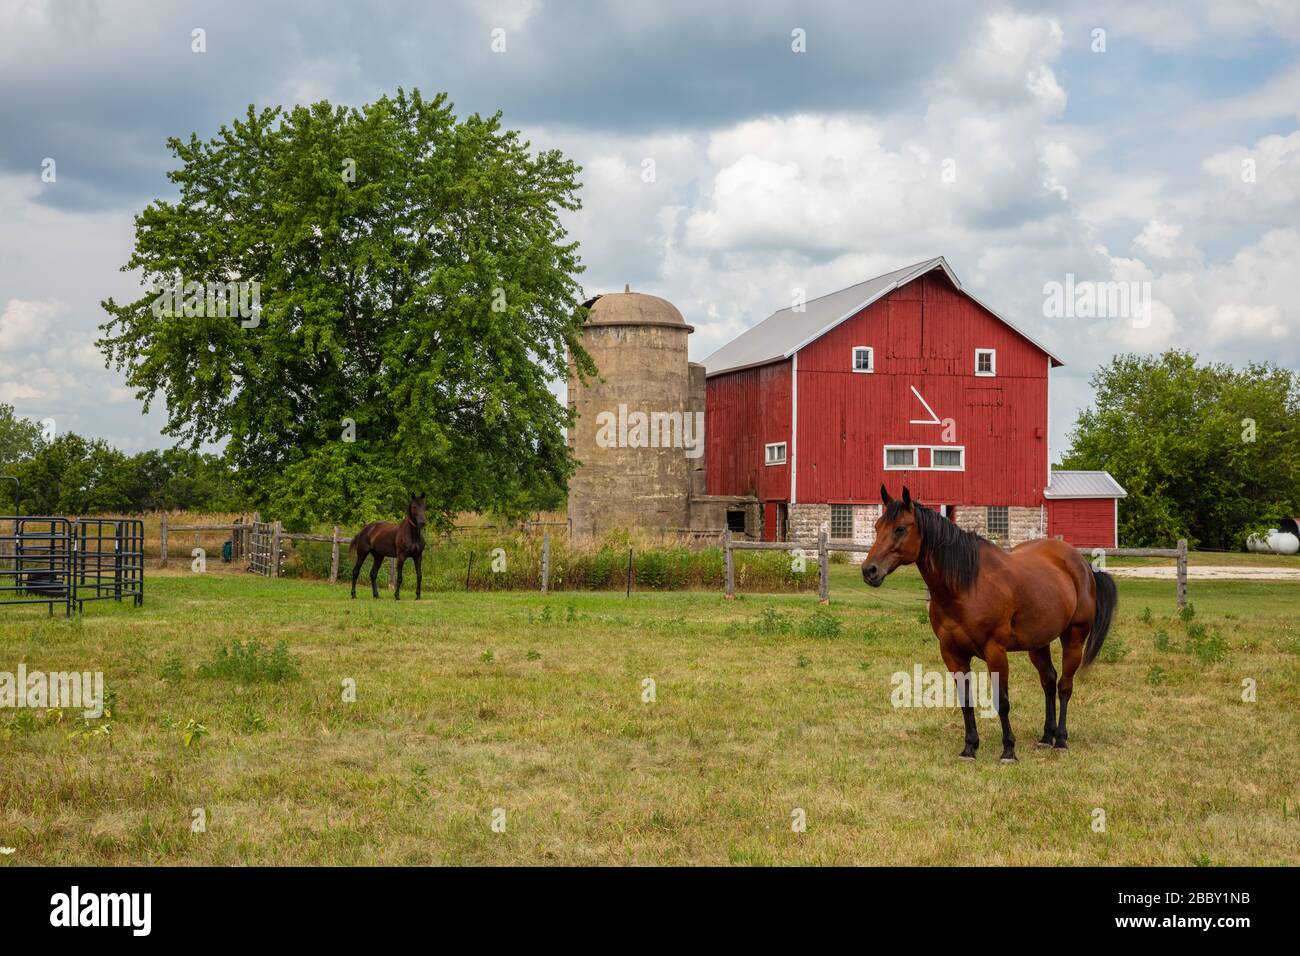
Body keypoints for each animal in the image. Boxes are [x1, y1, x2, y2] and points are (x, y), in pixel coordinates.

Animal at [863, 486, 1118, 764]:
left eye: (900, 528)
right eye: (877, 526)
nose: (869, 570)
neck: (966, 586)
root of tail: (1082, 564)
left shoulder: (995, 652)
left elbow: (1001, 701)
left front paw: (1008, 750)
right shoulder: (952, 654)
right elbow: (966, 700)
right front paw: (969, 748)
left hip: (1073, 639)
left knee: (1064, 686)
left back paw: (1060, 740)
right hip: (1038, 644)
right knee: (1049, 682)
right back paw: (1045, 738)